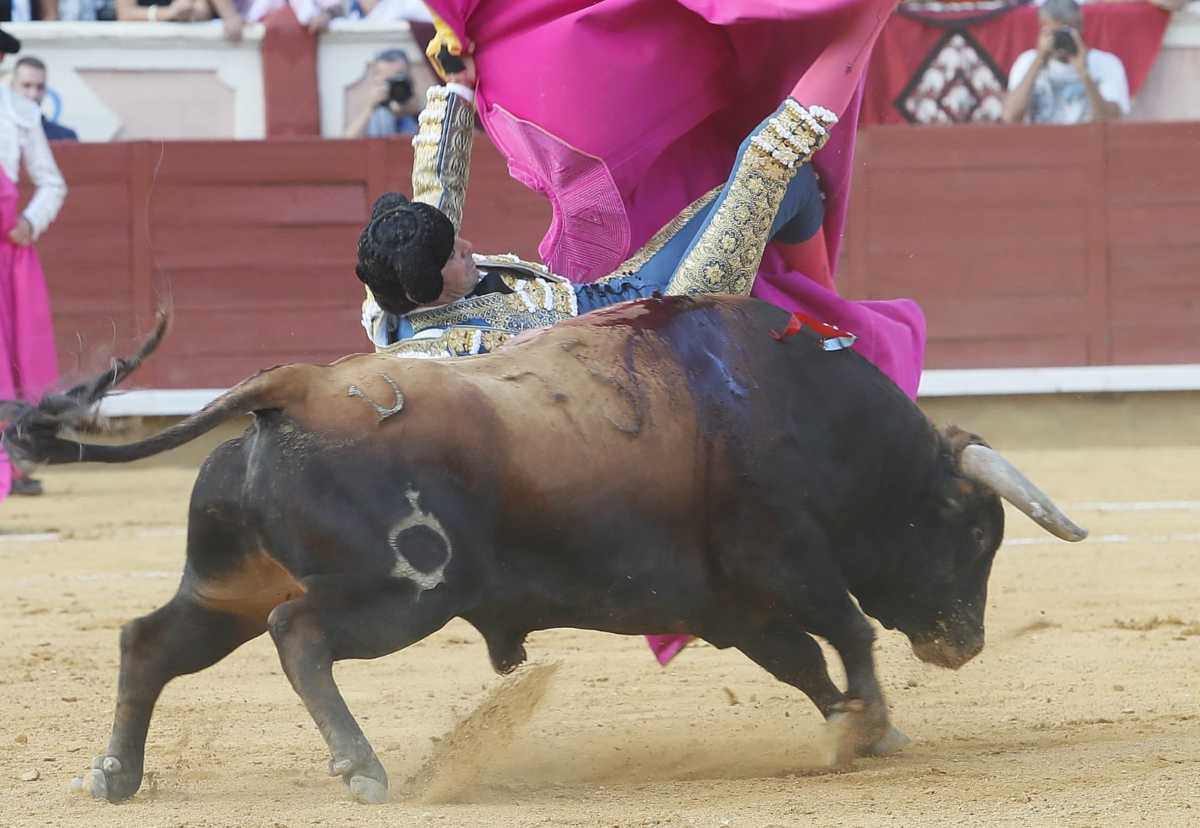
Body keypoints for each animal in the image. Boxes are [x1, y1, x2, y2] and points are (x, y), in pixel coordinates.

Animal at [0, 295, 1089, 801]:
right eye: (973, 530)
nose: (962, 643)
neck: (806, 413)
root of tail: (293, 390)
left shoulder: (735, 605)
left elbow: (805, 665)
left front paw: (860, 727)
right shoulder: (790, 566)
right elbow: (851, 636)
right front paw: (873, 724)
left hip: (226, 584)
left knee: (150, 643)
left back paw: (114, 776)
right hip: (399, 595)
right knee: (300, 634)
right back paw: (362, 769)